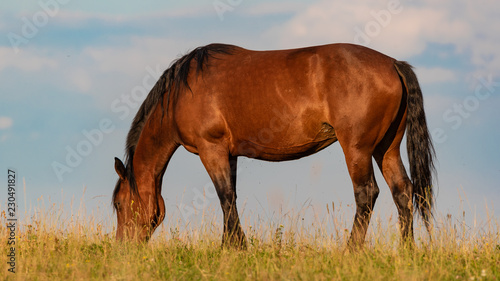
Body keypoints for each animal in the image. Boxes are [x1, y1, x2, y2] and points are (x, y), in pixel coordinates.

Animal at [112, 42, 434, 247]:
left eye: (118, 204)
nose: (122, 248)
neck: (181, 92)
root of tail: (393, 64)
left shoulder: (211, 149)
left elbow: (224, 197)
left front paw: (235, 247)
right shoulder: (229, 155)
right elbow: (231, 197)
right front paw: (231, 246)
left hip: (358, 149)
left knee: (367, 194)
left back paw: (351, 251)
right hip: (386, 148)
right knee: (403, 191)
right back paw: (407, 251)